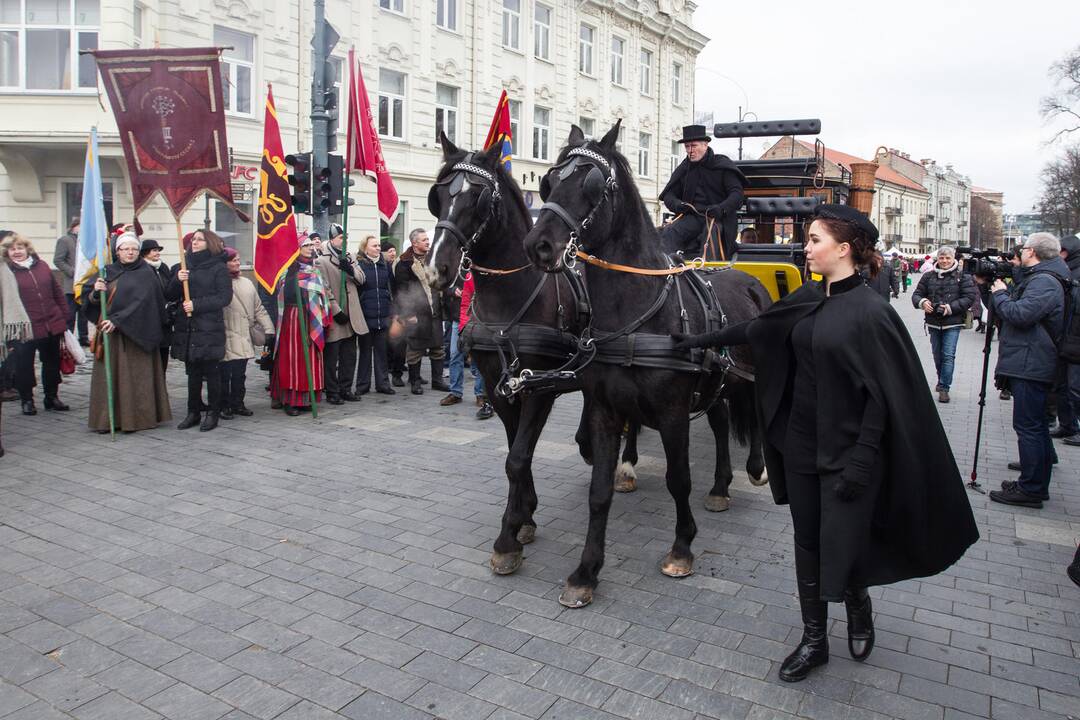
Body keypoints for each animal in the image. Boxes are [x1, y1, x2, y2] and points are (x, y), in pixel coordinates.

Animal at [421, 133, 639, 574]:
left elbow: (519, 457)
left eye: (477, 198)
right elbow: (513, 453)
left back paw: (625, 464)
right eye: (438, 197)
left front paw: (508, 537)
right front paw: (525, 517)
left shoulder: (539, 389)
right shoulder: (499, 386)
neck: (512, 300)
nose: (436, 269)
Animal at [520, 120, 768, 604]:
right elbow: (599, 491)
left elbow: (678, 479)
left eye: (593, 185)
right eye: (549, 181)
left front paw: (682, 549)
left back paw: (755, 469)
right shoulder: (603, 410)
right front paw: (586, 572)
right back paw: (720, 486)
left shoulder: (672, 414)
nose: (537, 245)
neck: (637, 313)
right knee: (721, 423)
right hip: (716, 383)